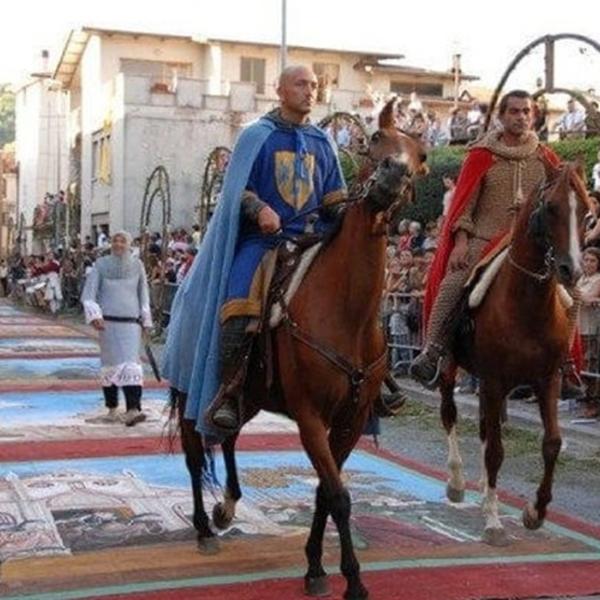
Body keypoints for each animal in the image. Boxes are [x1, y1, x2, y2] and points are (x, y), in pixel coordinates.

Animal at [172, 99, 426, 600]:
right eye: (375, 140)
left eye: (421, 157)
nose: (392, 176)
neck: (346, 309)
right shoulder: (310, 416)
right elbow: (340, 496)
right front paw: (352, 580)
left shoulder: (350, 419)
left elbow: (327, 492)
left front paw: (314, 565)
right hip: (192, 387)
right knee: (194, 453)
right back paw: (204, 527)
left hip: (249, 394)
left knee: (227, 433)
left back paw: (227, 506)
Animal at [440, 162, 592, 548]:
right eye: (551, 208)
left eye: (587, 213)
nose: (571, 270)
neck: (528, 304)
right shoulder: (494, 381)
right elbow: (496, 450)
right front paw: (494, 522)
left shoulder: (547, 379)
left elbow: (552, 443)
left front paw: (535, 512)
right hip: (451, 368)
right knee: (450, 414)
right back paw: (458, 482)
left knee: (483, 427)